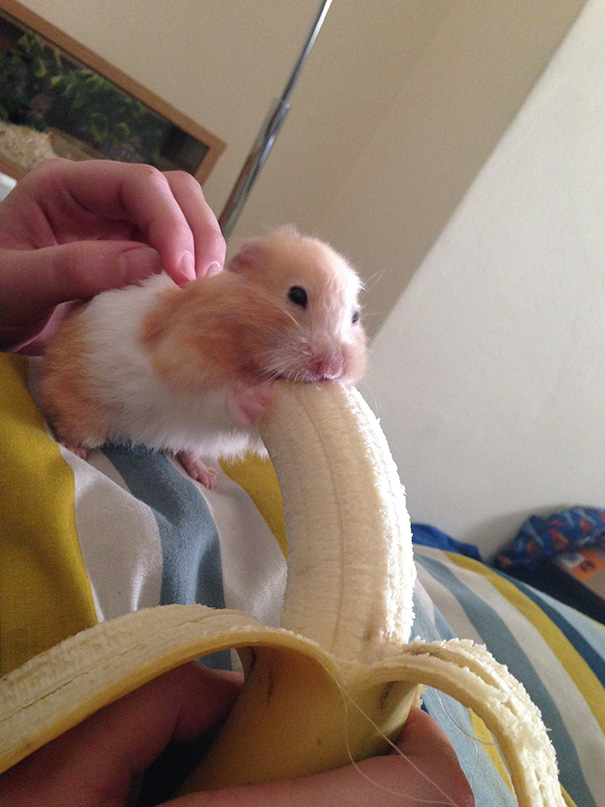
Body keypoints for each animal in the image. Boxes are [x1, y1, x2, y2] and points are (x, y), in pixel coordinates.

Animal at [40, 228, 367, 489]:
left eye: (355, 317)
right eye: (297, 295)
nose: (332, 369)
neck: (241, 350)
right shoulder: (182, 366)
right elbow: (221, 396)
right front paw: (261, 396)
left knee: (187, 449)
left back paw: (207, 478)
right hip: (80, 405)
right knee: (69, 421)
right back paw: (73, 449)